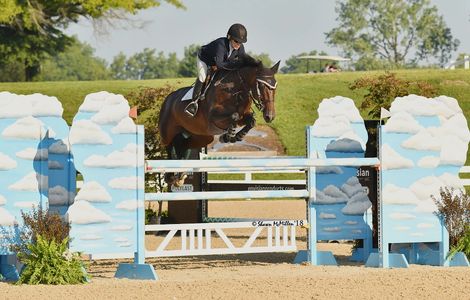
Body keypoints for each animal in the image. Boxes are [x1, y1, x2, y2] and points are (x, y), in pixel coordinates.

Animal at [160, 55, 280, 184]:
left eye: (275, 87)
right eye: (261, 86)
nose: (270, 116)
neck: (236, 89)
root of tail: (168, 99)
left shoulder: (243, 116)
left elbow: (250, 121)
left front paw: (236, 136)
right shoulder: (213, 117)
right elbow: (234, 116)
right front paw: (228, 136)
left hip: (201, 137)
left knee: (185, 146)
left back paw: (180, 175)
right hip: (168, 133)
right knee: (169, 147)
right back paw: (171, 176)